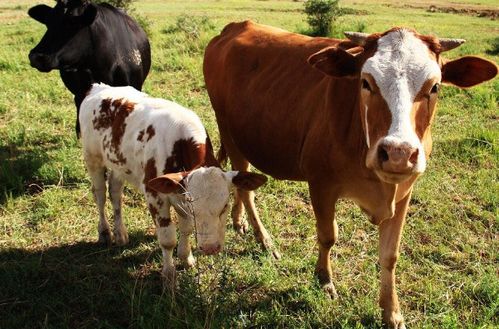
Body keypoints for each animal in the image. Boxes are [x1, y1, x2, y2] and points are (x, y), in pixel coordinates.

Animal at [81, 83, 270, 280]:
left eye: (225, 206)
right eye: (194, 207)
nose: (210, 248)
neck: (179, 144)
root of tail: (99, 88)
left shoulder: (180, 194)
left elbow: (186, 229)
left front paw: (186, 258)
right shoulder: (155, 195)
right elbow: (167, 239)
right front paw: (169, 274)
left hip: (119, 166)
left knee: (115, 192)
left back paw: (120, 233)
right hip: (92, 159)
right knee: (100, 195)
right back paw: (105, 232)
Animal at [204, 21, 499, 326]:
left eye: (435, 86)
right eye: (366, 82)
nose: (398, 153)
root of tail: (235, 27)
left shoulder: (405, 191)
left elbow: (390, 255)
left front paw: (392, 312)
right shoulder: (321, 184)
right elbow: (328, 235)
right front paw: (324, 280)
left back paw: (239, 221)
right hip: (229, 132)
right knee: (246, 188)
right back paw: (264, 239)